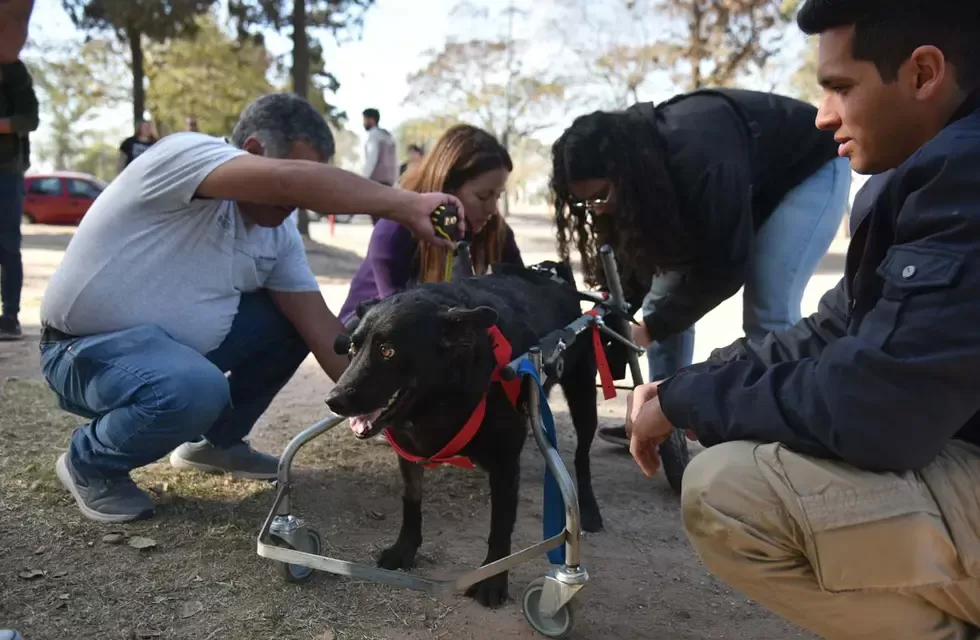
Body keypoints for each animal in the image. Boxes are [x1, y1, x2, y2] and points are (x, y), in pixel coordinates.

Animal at [326, 262, 600, 608]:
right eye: (352, 347)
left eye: (387, 351)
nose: (333, 400)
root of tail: (554, 275)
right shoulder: (407, 453)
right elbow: (411, 503)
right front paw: (405, 549)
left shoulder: (505, 465)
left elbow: (500, 526)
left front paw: (493, 581)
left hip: (583, 396)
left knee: (582, 457)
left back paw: (589, 510)